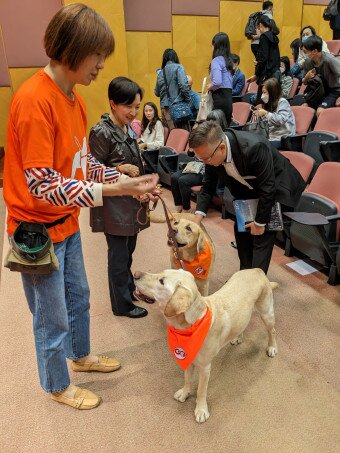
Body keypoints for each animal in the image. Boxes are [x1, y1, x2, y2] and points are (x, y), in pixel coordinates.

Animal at [134, 266, 278, 422]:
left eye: (161, 281)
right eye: (161, 273)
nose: (135, 274)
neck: (192, 323)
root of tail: (257, 270)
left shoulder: (205, 368)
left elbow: (201, 390)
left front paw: (201, 409)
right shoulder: (188, 358)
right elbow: (187, 379)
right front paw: (185, 393)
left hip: (267, 314)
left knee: (272, 331)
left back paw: (272, 347)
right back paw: (238, 337)